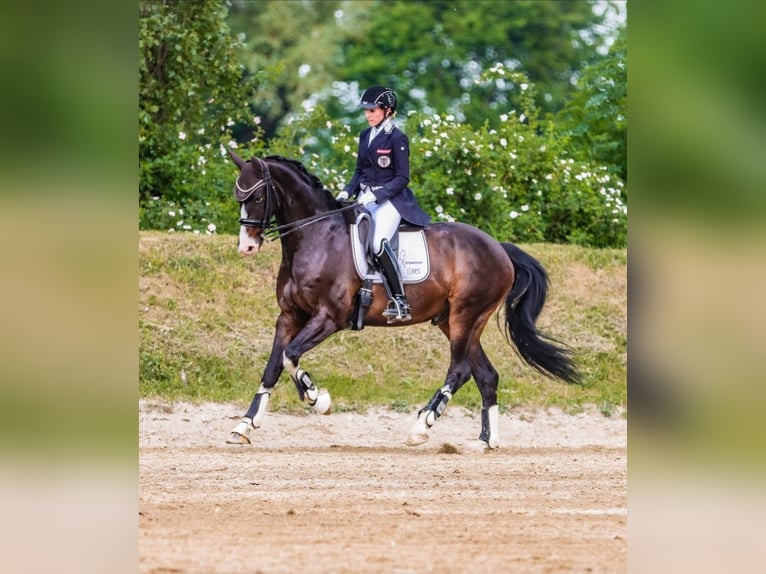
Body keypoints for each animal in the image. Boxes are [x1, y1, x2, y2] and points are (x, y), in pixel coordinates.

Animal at [225, 151, 580, 448]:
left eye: (257, 196)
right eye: (238, 197)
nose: (247, 246)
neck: (316, 237)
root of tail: (499, 249)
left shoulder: (328, 317)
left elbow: (291, 355)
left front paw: (318, 399)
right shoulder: (288, 316)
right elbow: (275, 365)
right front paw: (245, 425)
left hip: (466, 316)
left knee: (460, 370)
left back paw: (422, 426)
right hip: (454, 321)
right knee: (486, 375)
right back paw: (485, 441)